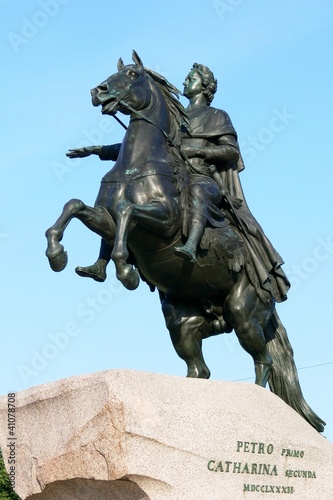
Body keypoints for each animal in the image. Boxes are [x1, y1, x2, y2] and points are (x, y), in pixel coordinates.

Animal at [44, 51, 324, 434]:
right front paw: (59, 255)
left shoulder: (162, 222)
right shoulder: (105, 218)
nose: (97, 91)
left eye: (132, 75)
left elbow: (129, 213)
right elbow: (74, 207)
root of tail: (269, 292)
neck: (137, 166)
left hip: (244, 313)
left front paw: (125, 270)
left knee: (263, 362)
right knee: (199, 370)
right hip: (183, 324)